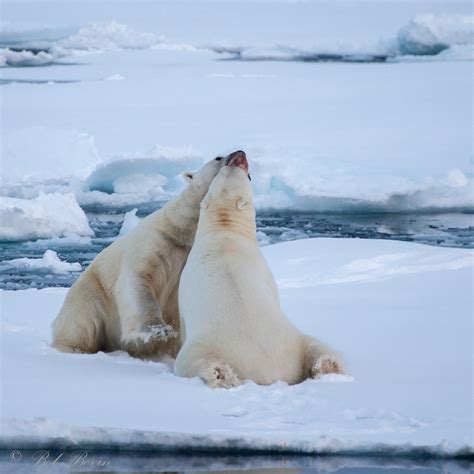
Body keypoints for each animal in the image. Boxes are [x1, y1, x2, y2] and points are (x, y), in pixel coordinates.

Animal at [52, 156, 227, 360]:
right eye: (218, 158)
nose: (237, 154)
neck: (183, 231)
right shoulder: (155, 242)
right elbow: (138, 278)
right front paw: (158, 331)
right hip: (92, 292)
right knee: (83, 319)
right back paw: (74, 349)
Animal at [176, 150, 342, 386]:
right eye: (237, 170)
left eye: (227, 168)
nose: (239, 154)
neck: (224, 231)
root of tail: (270, 373)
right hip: (204, 345)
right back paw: (220, 373)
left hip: (294, 338)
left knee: (316, 346)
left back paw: (327, 365)